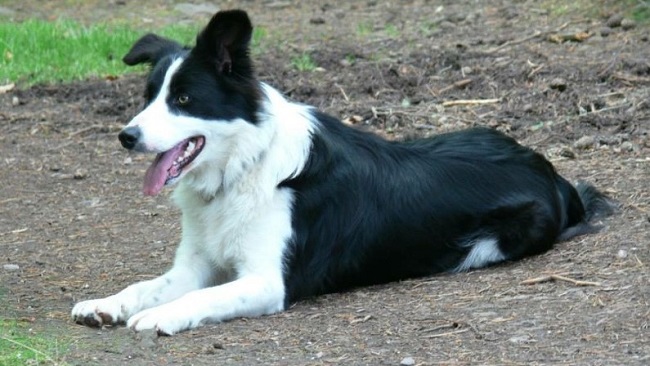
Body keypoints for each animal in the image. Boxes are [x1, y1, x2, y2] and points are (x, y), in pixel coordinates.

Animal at [73, 9, 612, 334]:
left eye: (183, 99)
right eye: (148, 98)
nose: (126, 136)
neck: (244, 165)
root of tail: (550, 170)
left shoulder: (268, 282)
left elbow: (203, 297)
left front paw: (160, 316)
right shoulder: (195, 265)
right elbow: (147, 285)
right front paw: (108, 303)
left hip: (497, 239)